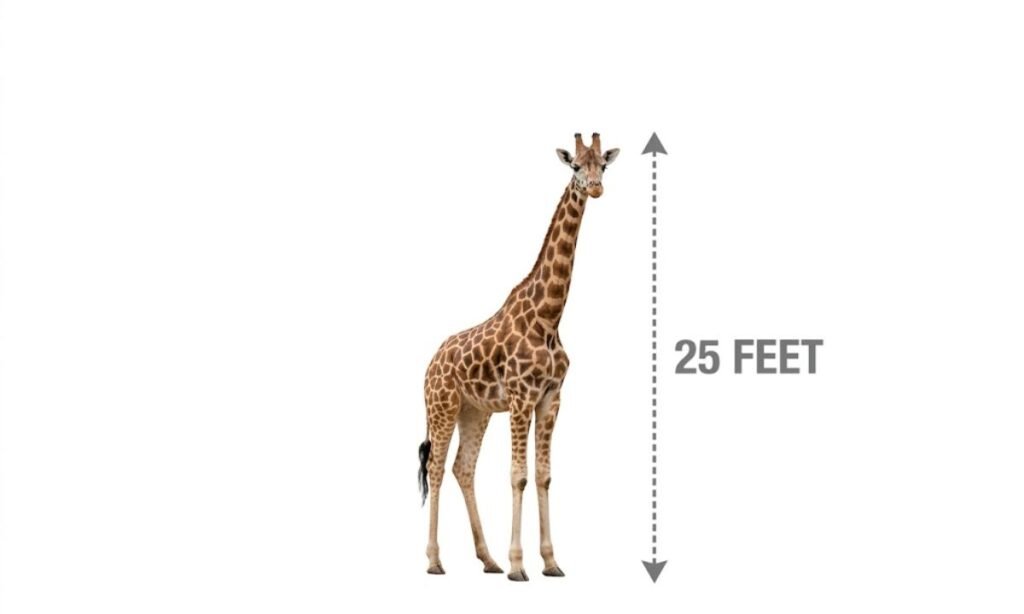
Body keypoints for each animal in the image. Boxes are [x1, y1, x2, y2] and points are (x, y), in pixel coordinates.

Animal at [418, 133, 620, 581]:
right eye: (575, 166)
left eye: (603, 165)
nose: (597, 188)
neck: (550, 316)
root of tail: (429, 365)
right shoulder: (521, 398)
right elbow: (519, 476)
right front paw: (518, 565)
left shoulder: (551, 399)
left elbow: (543, 476)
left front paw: (550, 562)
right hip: (442, 407)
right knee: (436, 468)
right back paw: (436, 561)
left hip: (474, 411)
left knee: (462, 468)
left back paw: (487, 559)